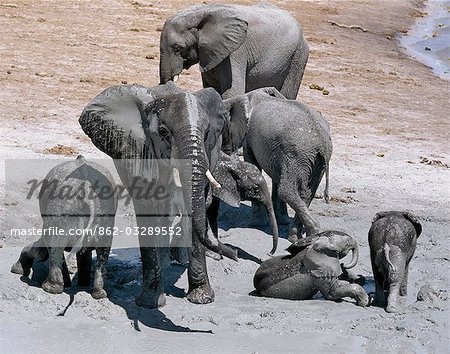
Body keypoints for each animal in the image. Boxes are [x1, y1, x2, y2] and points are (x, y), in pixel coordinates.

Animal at [10, 156, 118, 298]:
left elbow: (43, 248)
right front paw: (78, 285)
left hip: (63, 209)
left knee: (54, 244)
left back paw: (50, 289)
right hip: (103, 215)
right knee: (103, 250)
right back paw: (98, 294)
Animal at [158, 2, 310, 99]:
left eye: (177, 49)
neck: (200, 12)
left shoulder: (235, 53)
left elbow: (232, 93)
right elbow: (211, 89)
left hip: (299, 56)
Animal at [220, 87, 332, 239]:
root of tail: (323, 140)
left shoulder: (249, 137)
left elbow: (253, 162)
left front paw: (256, 225)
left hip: (296, 156)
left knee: (286, 191)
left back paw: (312, 232)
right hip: (314, 160)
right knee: (307, 193)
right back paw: (299, 236)